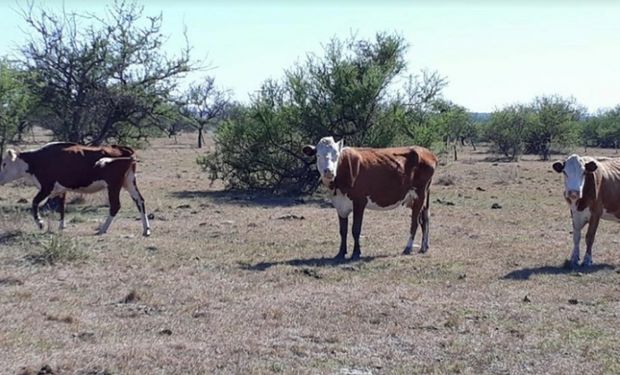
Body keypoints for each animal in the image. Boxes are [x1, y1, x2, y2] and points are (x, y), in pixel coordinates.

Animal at [0, 142, 150, 236]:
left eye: (4, 163)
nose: (0, 179)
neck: (37, 160)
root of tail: (125, 149)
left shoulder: (46, 187)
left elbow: (35, 202)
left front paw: (40, 223)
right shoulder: (60, 190)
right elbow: (61, 207)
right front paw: (60, 226)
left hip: (114, 185)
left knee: (115, 205)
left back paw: (102, 229)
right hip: (129, 182)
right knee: (140, 201)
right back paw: (146, 229)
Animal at [302, 136, 438, 262]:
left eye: (336, 155)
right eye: (318, 155)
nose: (329, 171)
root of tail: (427, 152)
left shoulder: (359, 202)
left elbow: (355, 229)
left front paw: (356, 253)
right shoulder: (340, 205)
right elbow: (343, 230)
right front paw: (340, 253)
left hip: (420, 194)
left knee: (415, 222)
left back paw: (408, 248)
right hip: (419, 197)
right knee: (425, 218)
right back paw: (424, 247)